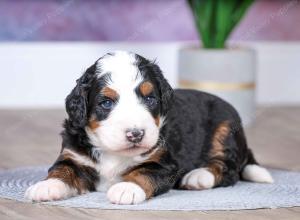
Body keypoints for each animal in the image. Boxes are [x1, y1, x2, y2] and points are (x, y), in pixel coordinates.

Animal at [24, 50, 274, 205]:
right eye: (106, 103)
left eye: (150, 99)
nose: (136, 134)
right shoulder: (74, 155)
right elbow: (62, 169)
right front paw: (46, 186)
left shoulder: (164, 162)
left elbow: (143, 172)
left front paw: (127, 188)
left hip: (225, 127)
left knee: (229, 169)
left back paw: (198, 176)